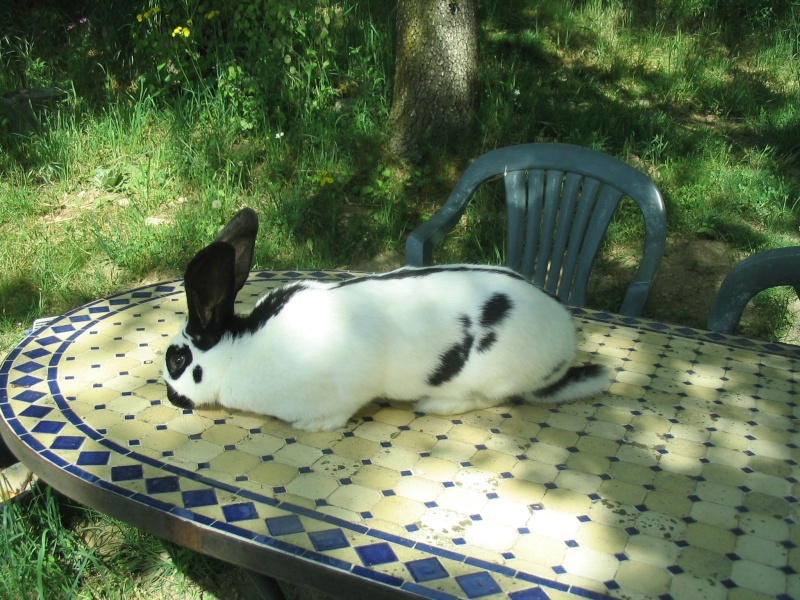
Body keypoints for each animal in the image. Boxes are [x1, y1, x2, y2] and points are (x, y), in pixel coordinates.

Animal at [166, 209, 608, 428]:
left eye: (177, 360)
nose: (171, 398)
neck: (239, 352)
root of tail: (566, 342)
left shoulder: (340, 391)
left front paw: (311, 428)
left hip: (491, 377)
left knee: (486, 399)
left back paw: (434, 405)